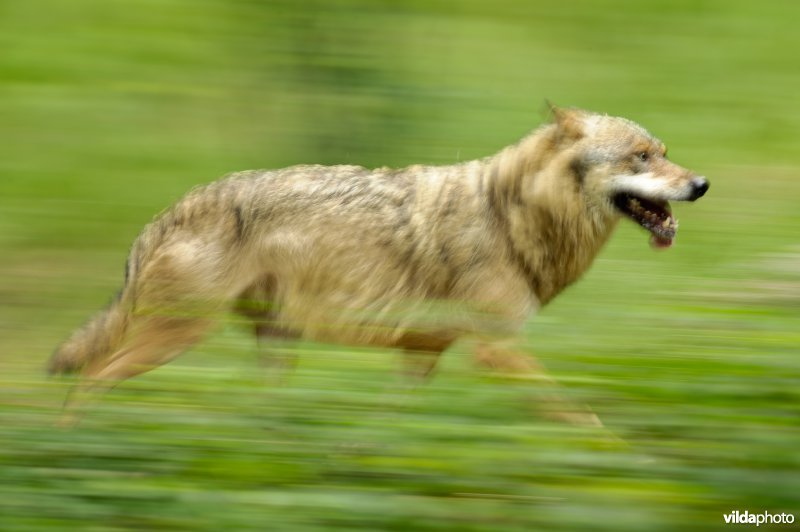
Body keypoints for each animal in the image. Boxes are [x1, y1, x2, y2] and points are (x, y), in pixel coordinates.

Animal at [49, 105, 708, 424]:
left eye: (665, 153)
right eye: (640, 157)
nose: (701, 185)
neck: (511, 216)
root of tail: (170, 212)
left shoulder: (421, 355)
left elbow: (385, 424)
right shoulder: (495, 348)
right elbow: (579, 417)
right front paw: (616, 457)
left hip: (271, 346)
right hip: (180, 336)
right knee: (89, 381)